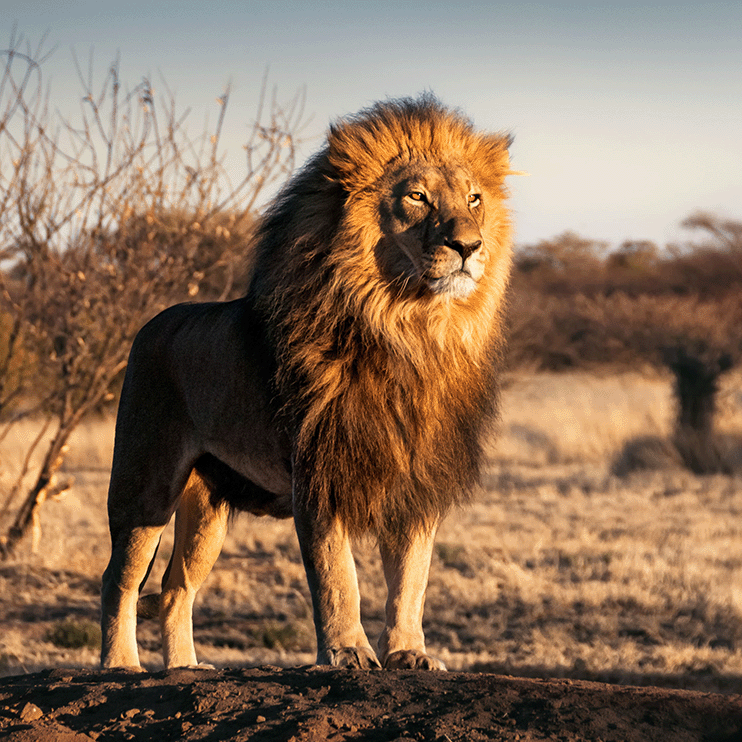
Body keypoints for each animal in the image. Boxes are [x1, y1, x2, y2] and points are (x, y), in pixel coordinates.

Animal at [101, 94, 514, 671]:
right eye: (416, 196)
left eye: (475, 199)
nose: (469, 245)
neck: (409, 330)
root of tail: (151, 323)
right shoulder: (319, 470)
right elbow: (338, 575)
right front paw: (348, 652)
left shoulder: (416, 478)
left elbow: (412, 577)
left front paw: (409, 653)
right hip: (145, 485)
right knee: (119, 578)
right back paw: (120, 664)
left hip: (207, 507)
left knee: (175, 587)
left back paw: (185, 667)